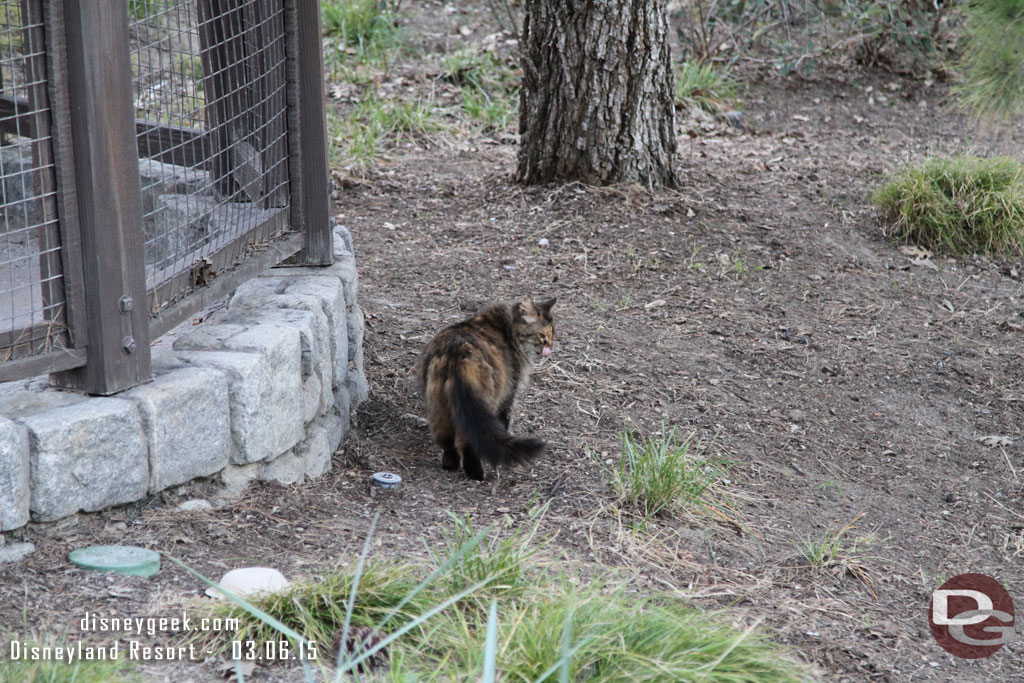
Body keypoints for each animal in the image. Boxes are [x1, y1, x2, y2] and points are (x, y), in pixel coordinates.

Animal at [417, 296, 561, 481]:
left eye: (552, 334)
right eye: (541, 335)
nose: (549, 348)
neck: (507, 327)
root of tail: (457, 353)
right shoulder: (508, 395)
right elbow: (506, 423)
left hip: (440, 406)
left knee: (447, 441)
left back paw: (451, 465)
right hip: (482, 405)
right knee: (469, 443)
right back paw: (477, 474)